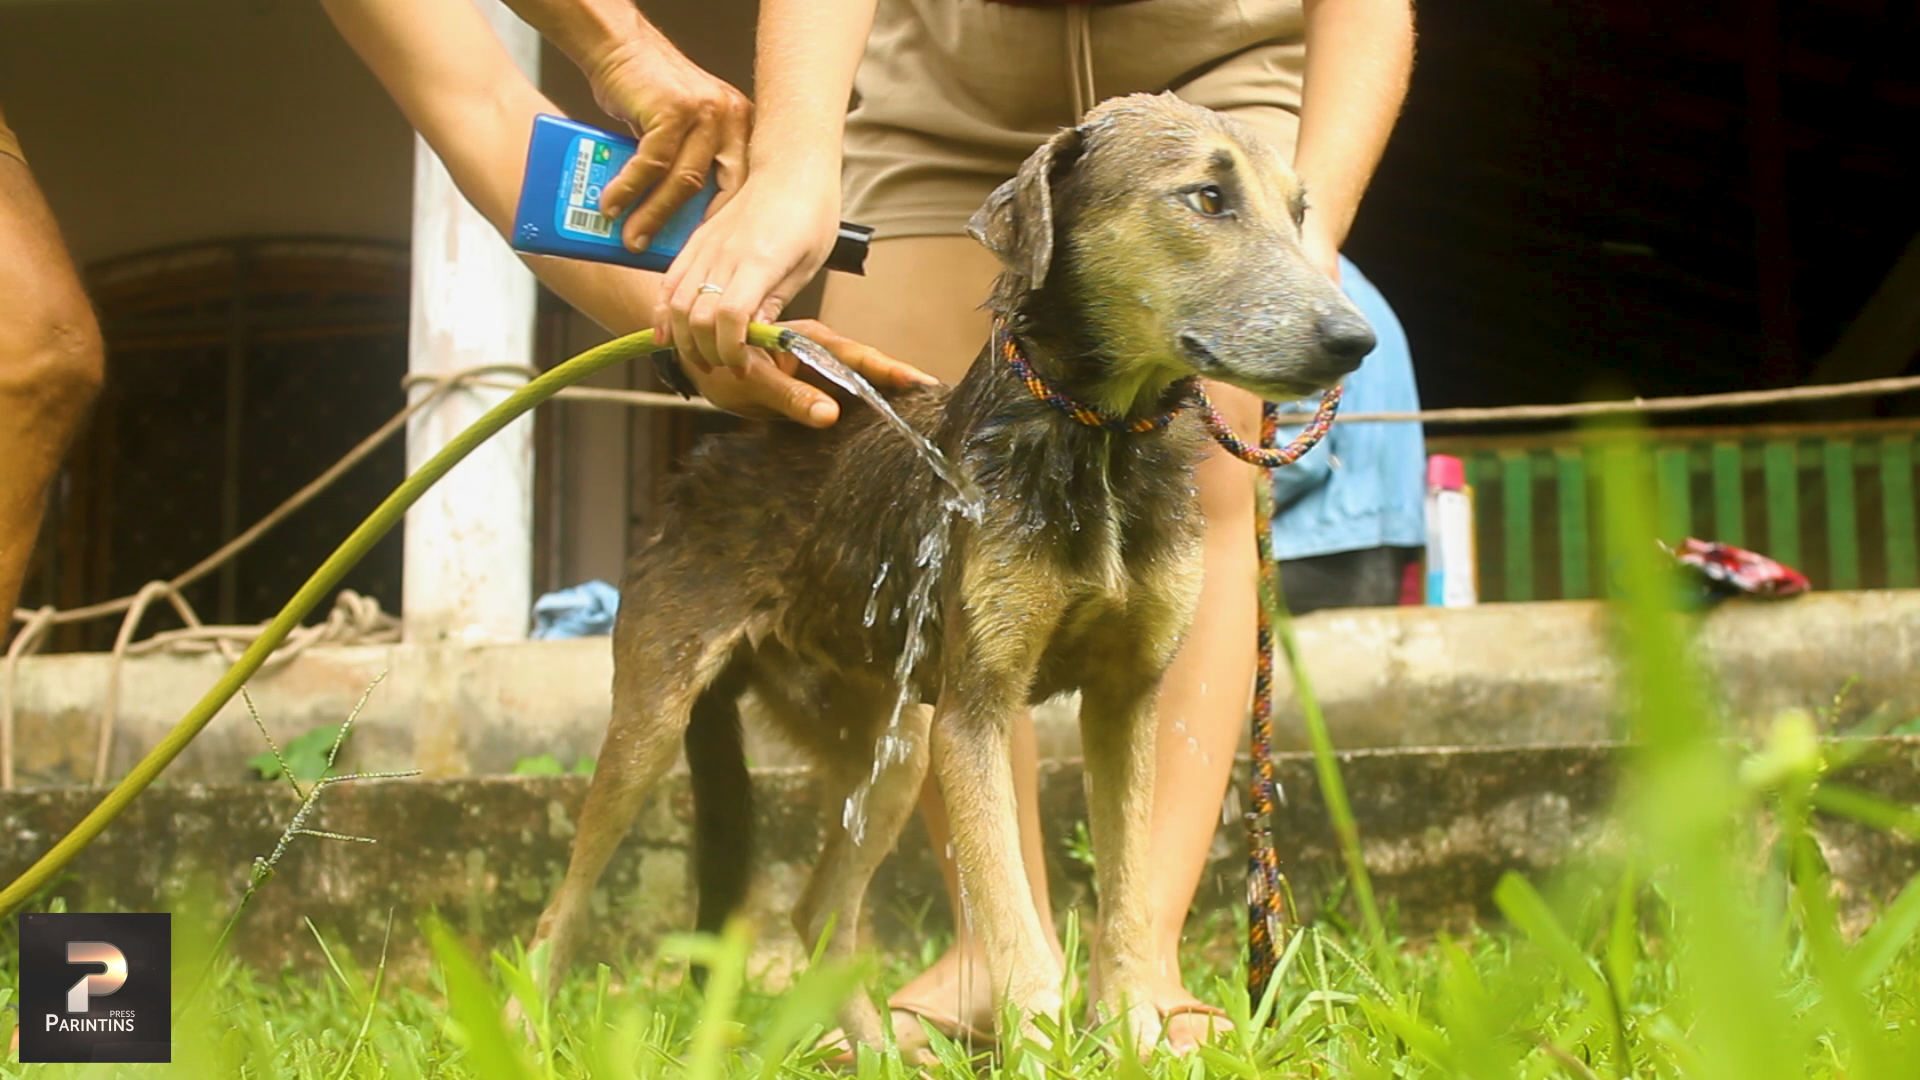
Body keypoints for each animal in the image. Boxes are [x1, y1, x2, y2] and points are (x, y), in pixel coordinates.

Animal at [522, 90, 1367, 1045]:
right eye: (1207, 200)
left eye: (1299, 214)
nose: (1357, 341)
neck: (1101, 436)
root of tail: (704, 458)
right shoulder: (976, 706)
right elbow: (1014, 929)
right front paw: (1043, 1047)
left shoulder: (1127, 697)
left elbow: (1126, 904)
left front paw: (1134, 1036)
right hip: (656, 722)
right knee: (563, 907)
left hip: (889, 749)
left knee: (820, 912)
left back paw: (877, 1051)